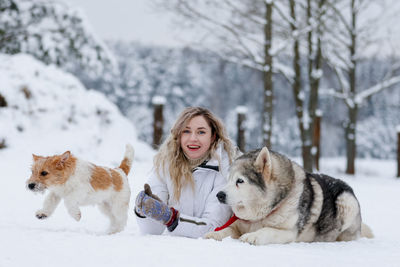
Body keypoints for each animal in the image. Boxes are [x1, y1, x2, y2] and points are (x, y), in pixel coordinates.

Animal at [205, 148, 374, 246]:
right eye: (228, 180)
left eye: (240, 181)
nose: (219, 195)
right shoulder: (238, 225)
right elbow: (227, 229)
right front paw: (214, 234)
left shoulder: (288, 232)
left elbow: (267, 230)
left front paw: (253, 236)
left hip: (346, 202)